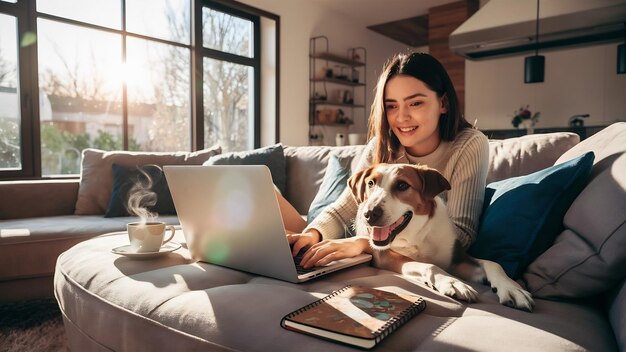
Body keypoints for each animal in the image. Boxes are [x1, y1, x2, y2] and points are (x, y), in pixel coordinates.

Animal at [346, 163, 532, 310]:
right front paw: (452, 282)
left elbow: (492, 264)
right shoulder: (384, 256)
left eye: (402, 185)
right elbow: (429, 265)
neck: (416, 236)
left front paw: (512, 288)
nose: (369, 214)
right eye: (370, 183)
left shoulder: (455, 260)